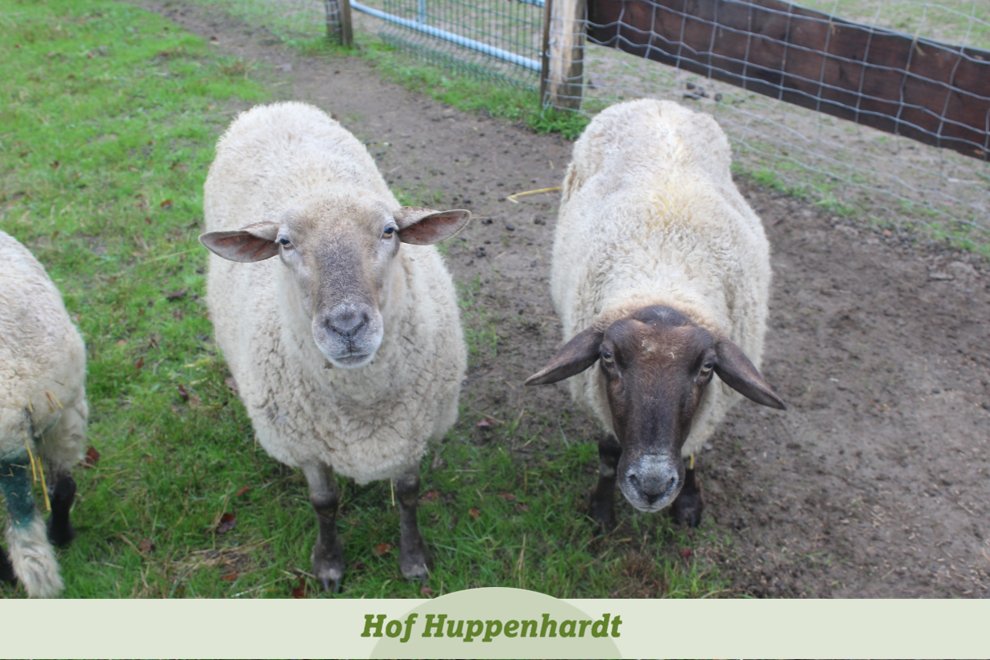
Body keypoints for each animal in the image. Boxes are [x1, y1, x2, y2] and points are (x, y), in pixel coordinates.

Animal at [199, 101, 470, 589]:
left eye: (389, 232)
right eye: (284, 242)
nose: (347, 326)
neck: (363, 406)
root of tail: (272, 106)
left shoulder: (413, 430)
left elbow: (408, 494)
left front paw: (413, 559)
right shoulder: (307, 445)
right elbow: (324, 502)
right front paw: (328, 564)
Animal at [526, 99, 784, 530]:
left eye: (707, 367)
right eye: (608, 358)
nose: (651, 484)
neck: (664, 272)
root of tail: (657, 103)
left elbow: (692, 450)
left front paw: (689, 503)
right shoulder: (603, 403)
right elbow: (607, 456)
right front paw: (601, 511)